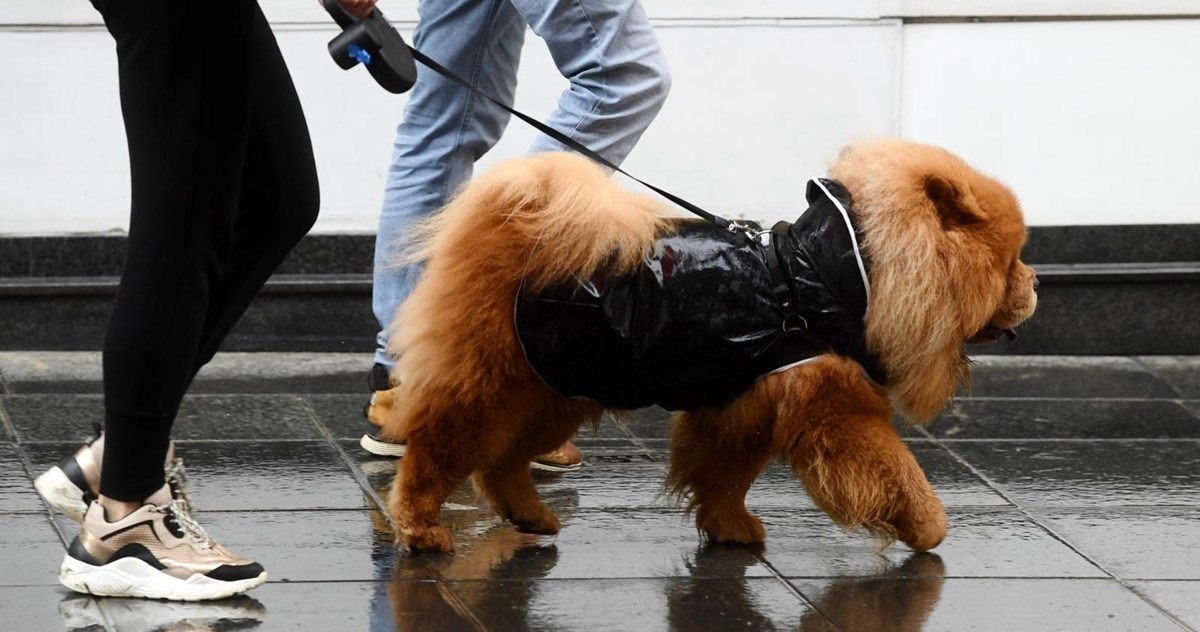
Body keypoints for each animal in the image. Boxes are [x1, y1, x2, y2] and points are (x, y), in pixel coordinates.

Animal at [379, 138, 1036, 554]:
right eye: (1011, 261)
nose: (1036, 283)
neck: (826, 273)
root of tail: (515, 227)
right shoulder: (836, 411)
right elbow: (896, 471)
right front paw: (929, 528)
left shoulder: (738, 404)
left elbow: (723, 476)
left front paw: (730, 528)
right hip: (496, 387)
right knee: (438, 451)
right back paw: (421, 529)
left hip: (558, 387)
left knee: (501, 462)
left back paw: (531, 515)